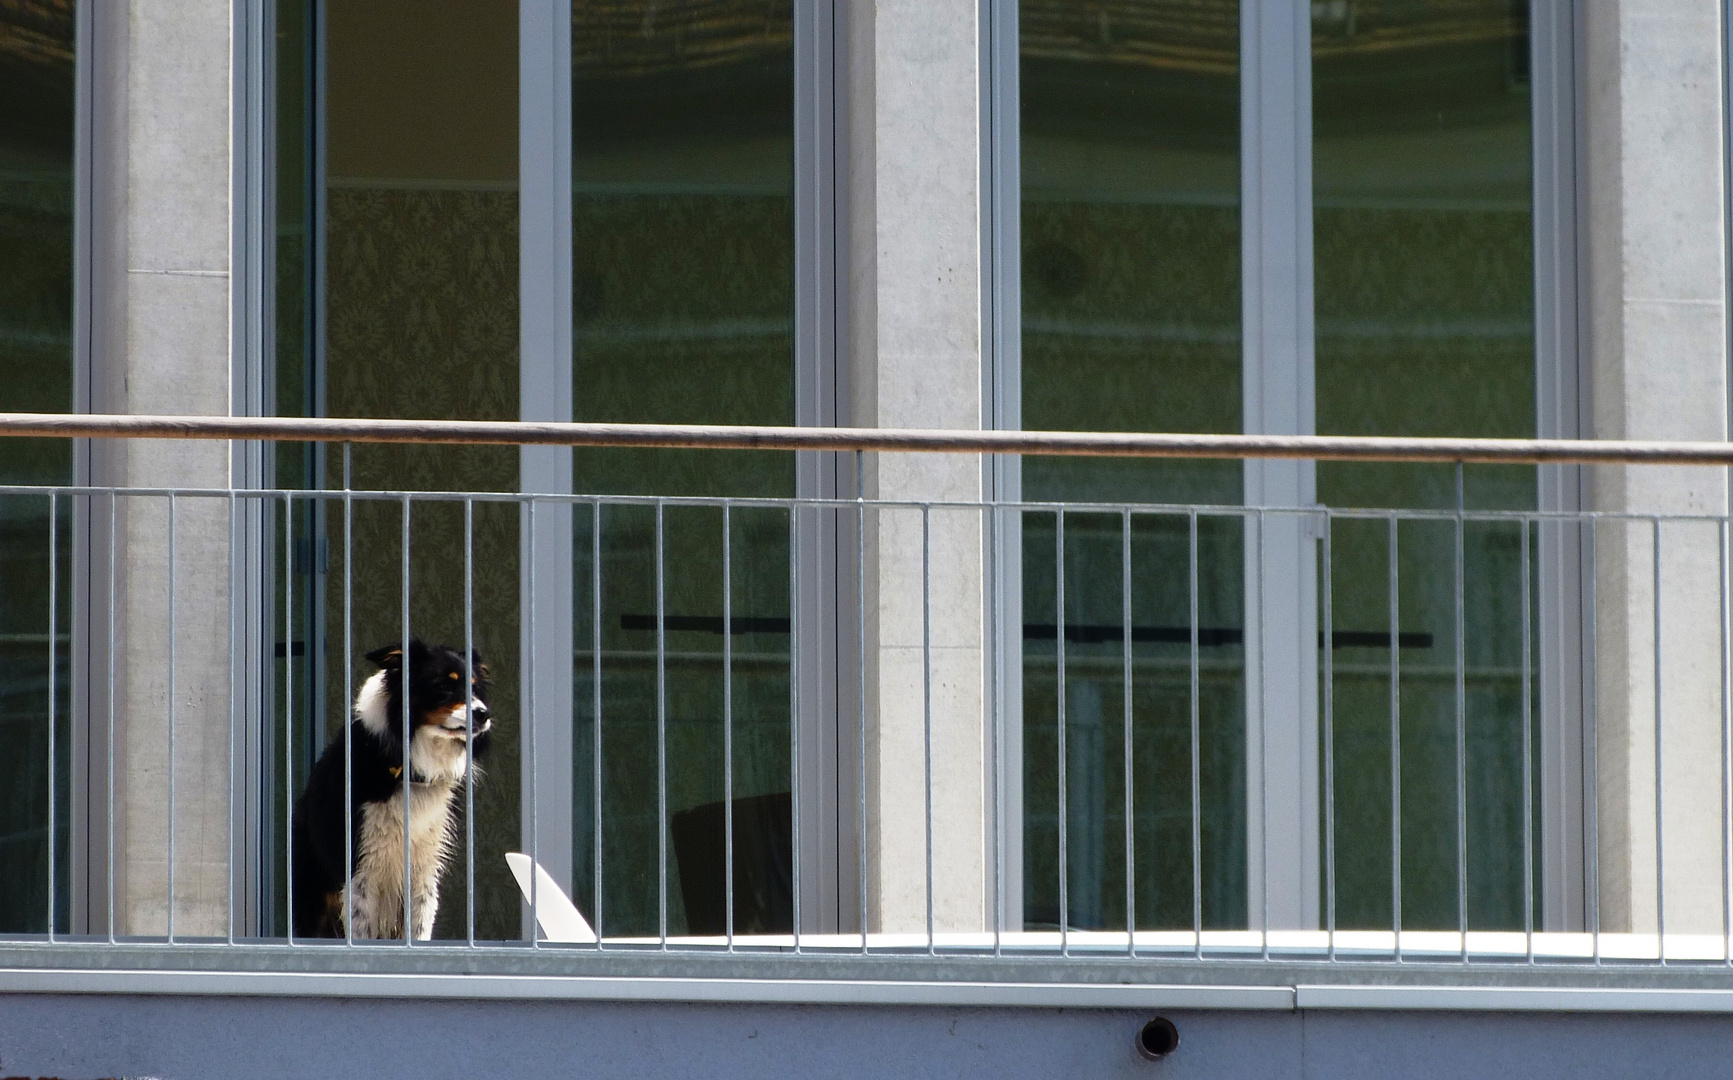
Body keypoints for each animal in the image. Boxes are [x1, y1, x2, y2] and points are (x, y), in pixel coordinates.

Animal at [291, 641, 495, 936]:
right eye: (442, 685)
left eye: (474, 687)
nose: (484, 714)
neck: (409, 768)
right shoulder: (360, 866)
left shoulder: (424, 867)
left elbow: (420, 927)